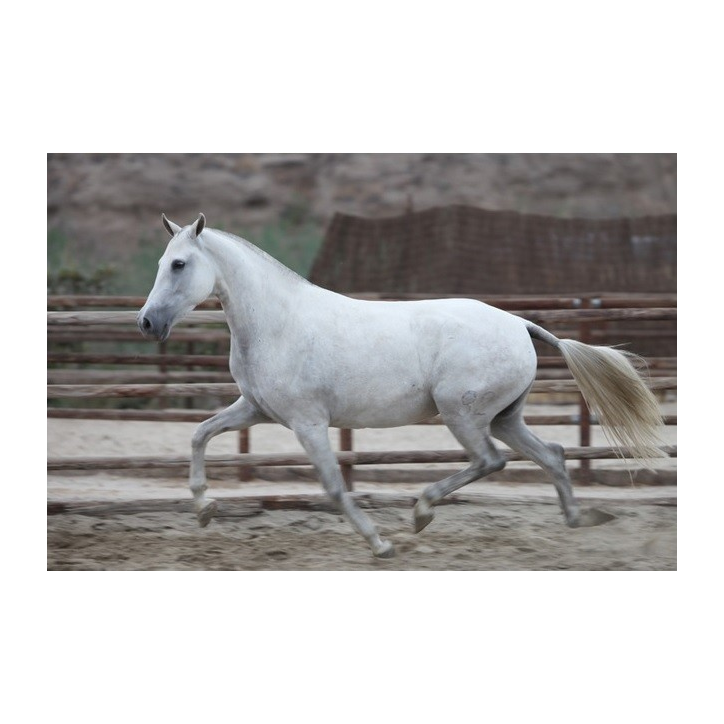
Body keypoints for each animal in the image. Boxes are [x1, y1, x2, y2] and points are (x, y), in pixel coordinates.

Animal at [138, 213, 664, 558]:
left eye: (179, 264)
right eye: (162, 262)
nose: (146, 323)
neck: (277, 323)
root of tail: (520, 324)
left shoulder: (308, 422)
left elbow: (333, 486)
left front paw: (380, 543)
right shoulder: (255, 409)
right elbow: (199, 434)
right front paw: (205, 509)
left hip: (462, 414)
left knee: (490, 460)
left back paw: (422, 511)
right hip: (504, 417)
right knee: (551, 453)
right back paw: (579, 519)